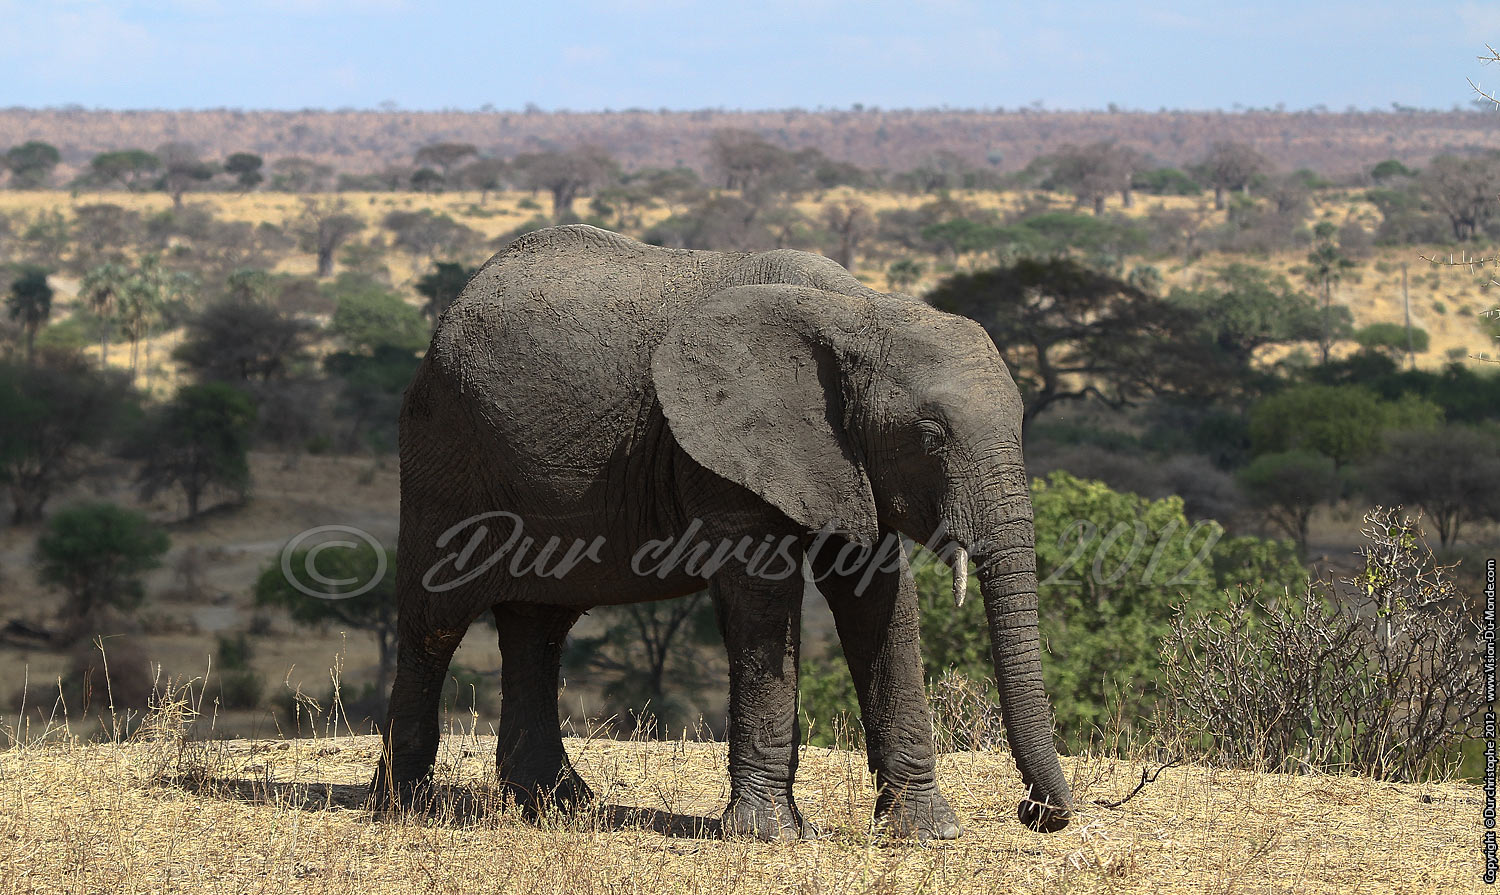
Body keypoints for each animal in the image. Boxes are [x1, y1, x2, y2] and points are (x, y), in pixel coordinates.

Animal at [370, 224, 1074, 840]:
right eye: (930, 435)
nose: (1038, 813)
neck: (856, 313)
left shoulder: (842, 457)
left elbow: (877, 598)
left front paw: (925, 833)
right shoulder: (717, 449)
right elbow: (763, 598)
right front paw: (770, 835)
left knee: (538, 625)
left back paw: (559, 807)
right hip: (445, 445)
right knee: (436, 619)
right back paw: (407, 806)